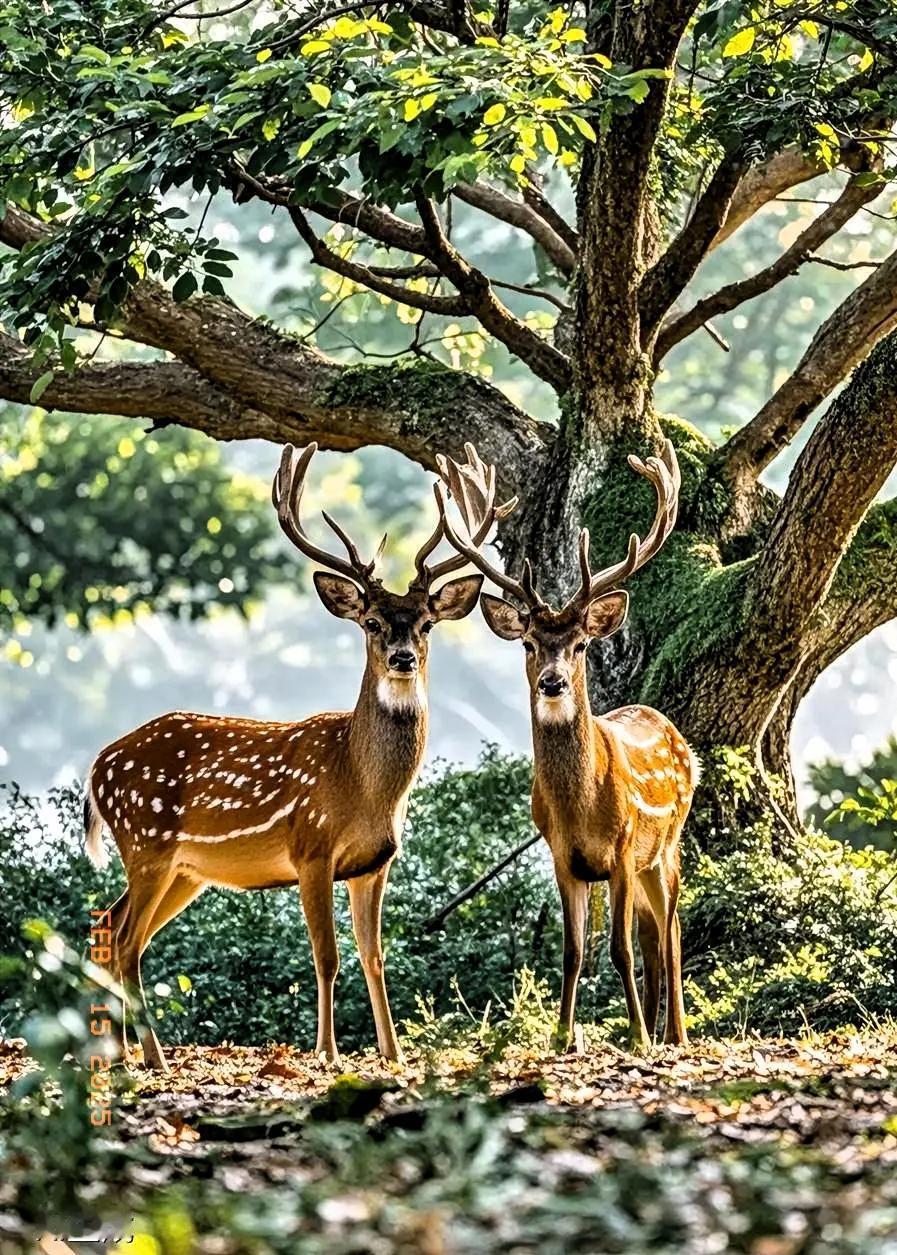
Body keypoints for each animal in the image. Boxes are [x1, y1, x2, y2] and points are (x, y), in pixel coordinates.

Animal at [84, 439, 501, 1069]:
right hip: (145, 841)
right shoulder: (311, 848)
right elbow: (326, 957)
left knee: (111, 928)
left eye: (427, 623)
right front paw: (328, 1052)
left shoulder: (374, 862)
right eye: (372, 621)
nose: (402, 657)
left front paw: (394, 1054)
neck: (363, 783)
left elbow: (375, 955)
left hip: (183, 869)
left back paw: (121, 1054)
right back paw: (150, 1056)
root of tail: (96, 767)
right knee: (128, 940)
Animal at [439, 441, 697, 1049]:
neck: (581, 806)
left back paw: (674, 1033)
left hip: (667, 843)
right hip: (649, 861)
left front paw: (638, 1036)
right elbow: (574, 950)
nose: (552, 682)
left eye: (580, 644)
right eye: (529, 643)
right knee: (656, 934)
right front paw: (562, 1036)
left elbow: (619, 949)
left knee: (672, 928)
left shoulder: (623, 849)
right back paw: (661, 1025)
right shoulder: (561, 855)